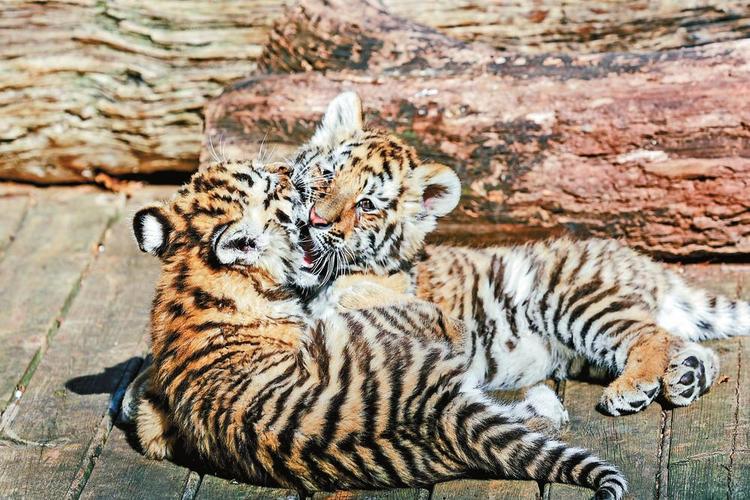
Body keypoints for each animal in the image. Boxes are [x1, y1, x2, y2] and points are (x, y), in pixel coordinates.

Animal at [293, 91, 750, 416]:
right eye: (327, 174)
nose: (315, 220)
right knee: (694, 346)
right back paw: (685, 378)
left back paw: (631, 390)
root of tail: (647, 264)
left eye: (367, 204)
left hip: (577, 301)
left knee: (652, 335)